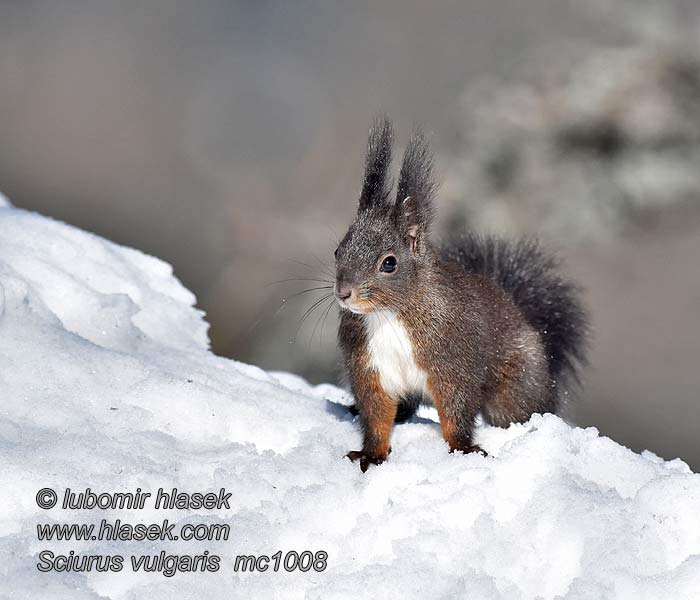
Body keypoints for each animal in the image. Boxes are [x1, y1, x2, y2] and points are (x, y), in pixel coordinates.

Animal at [336, 118, 588, 474]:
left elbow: (457, 408)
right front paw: (371, 452)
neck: (390, 315)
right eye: (338, 251)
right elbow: (376, 414)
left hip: (516, 386)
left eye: (389, 263)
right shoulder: (371, 367)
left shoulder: (454, 360)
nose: (344, 293)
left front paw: (463, 447)